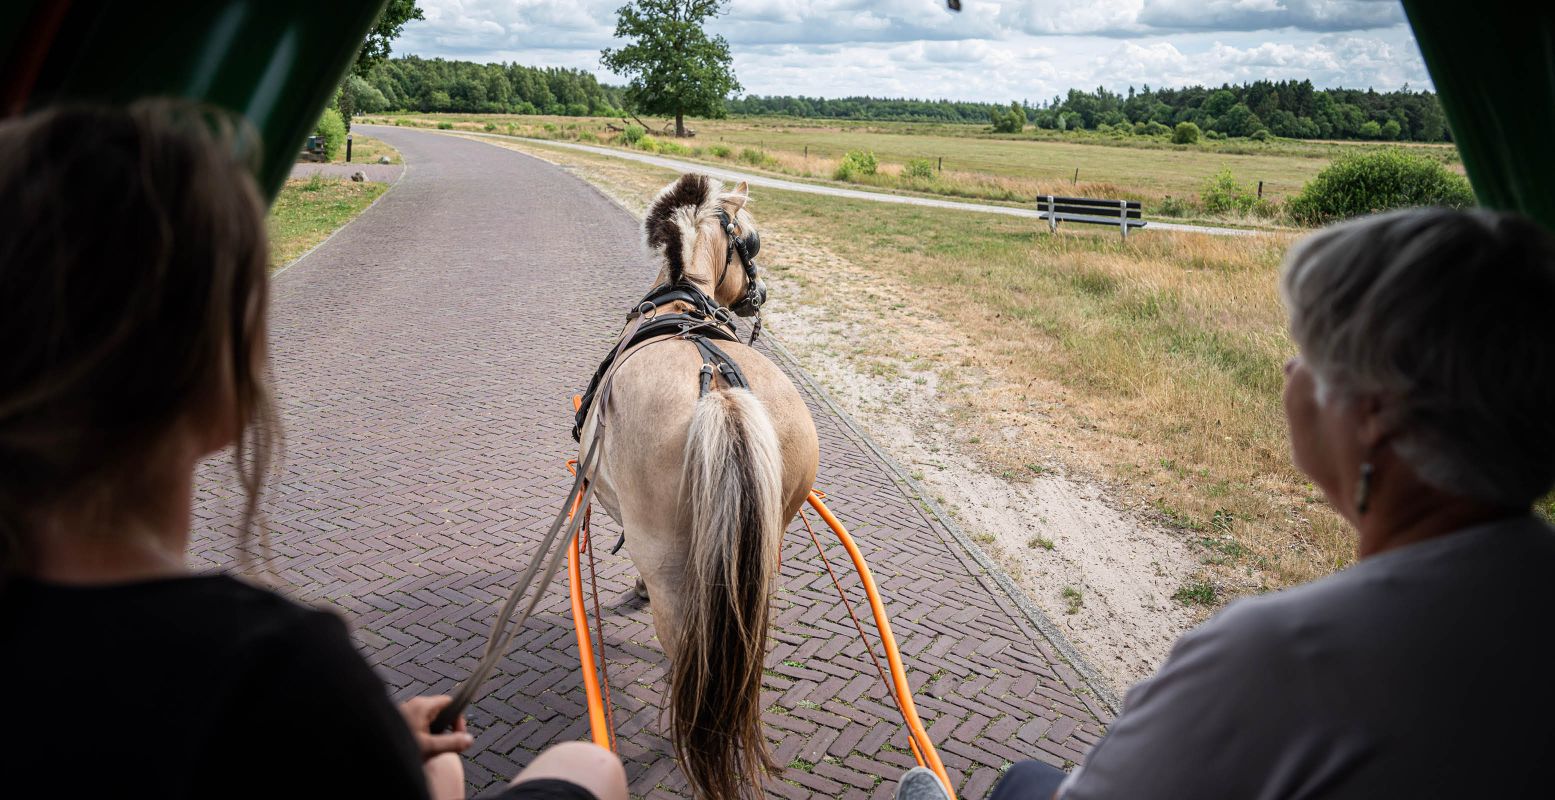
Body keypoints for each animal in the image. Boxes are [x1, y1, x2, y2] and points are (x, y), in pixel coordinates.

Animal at [575, 171, 821, 793]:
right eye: (752, 241)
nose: (761, 295)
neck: (684, 296)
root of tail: (718, 386)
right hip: (766, 545)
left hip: (669, 561)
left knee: (685, 645)